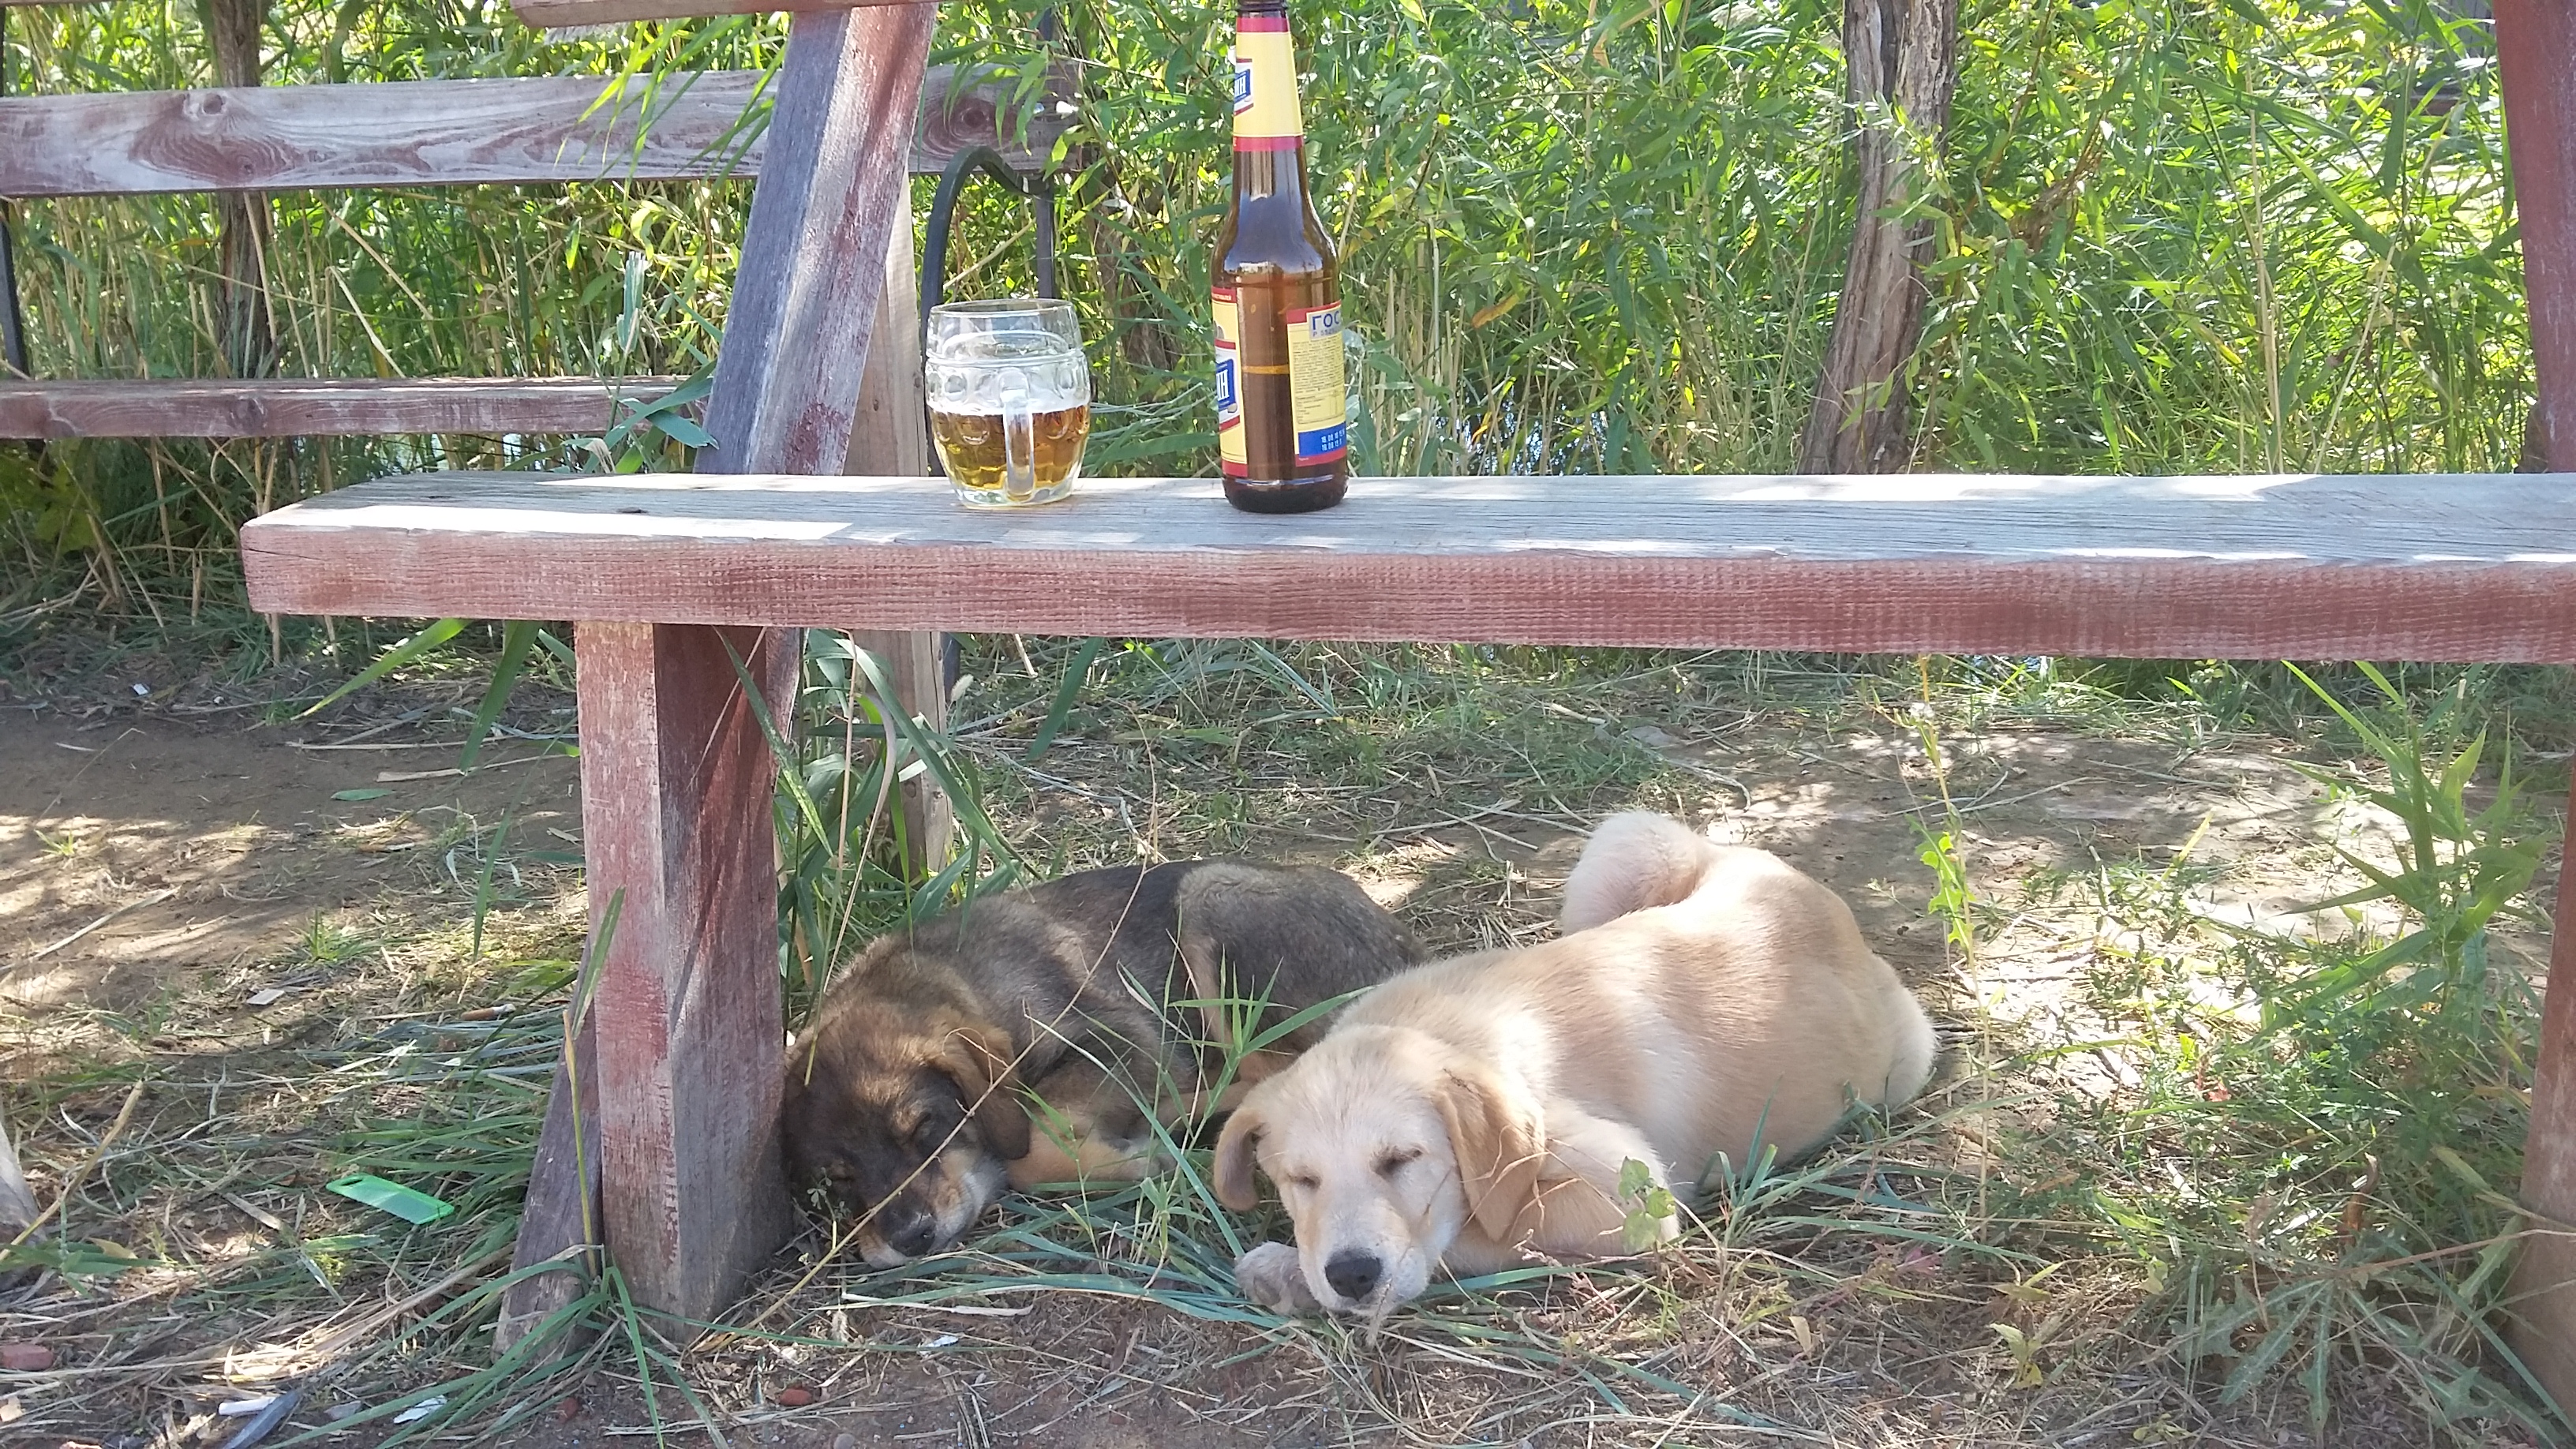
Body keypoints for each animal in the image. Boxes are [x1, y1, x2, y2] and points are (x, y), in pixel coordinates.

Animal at [782, 859, 1424, 1267]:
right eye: (837, 1179)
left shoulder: (1121, 1039)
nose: (911, 1239)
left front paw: (1148, 1155)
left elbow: (1035, 1146)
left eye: (926, 1128)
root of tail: (1404, 944)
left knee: (1283, 1073)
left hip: (1214, 901)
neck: (956, 981)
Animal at [1213, 812, 1937, 1319]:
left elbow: (1470, 1236)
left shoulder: (1630, 1196)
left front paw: (1290, 1273)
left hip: (1905, 1063)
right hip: (1621, 845)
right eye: (1301, 1180)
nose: (1351, 1275)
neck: (1430, 1027)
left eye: (1402, 1161)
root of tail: (1824, 903)